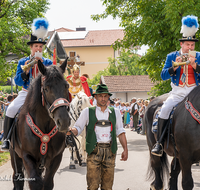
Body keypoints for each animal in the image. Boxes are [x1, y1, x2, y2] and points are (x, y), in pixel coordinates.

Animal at [10, 58, 71, 189]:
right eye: (46, 88)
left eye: (66, 86)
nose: (63, 121)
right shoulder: (27, 157)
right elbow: (35, 182)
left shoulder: (56, 158)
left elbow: (47, 183)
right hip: (15, 157)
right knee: (18, 179)